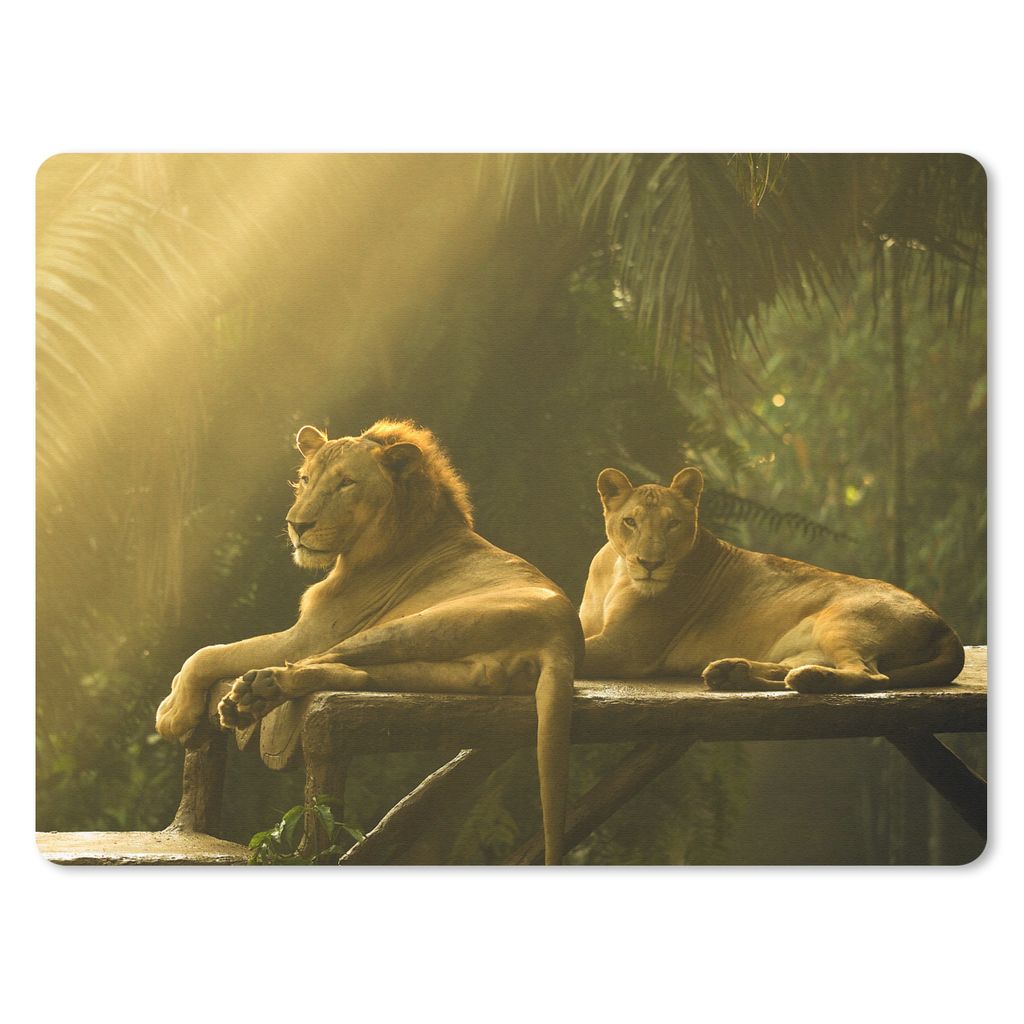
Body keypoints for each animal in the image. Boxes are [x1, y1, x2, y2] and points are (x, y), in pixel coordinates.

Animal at [156, 419, 583, 864]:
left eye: (346, 483)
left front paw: (174, 714)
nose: (297, 525)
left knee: (322, 661)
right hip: (444, 668)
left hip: (412, 625)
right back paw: (260, 694)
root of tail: (562, 642)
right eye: (305, 480)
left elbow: (206, 654)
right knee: (356, 675)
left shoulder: (306, 635)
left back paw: (254, 692)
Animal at [579, 466, 964, 693]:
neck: (616, 573)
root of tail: (945, 626)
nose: (650, 563)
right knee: (786, 670)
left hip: (840, 622)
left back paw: (809, 679)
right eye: (630, 522)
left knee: (870, 675)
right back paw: (731, 672)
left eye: (672, 523)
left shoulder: (625, 647)